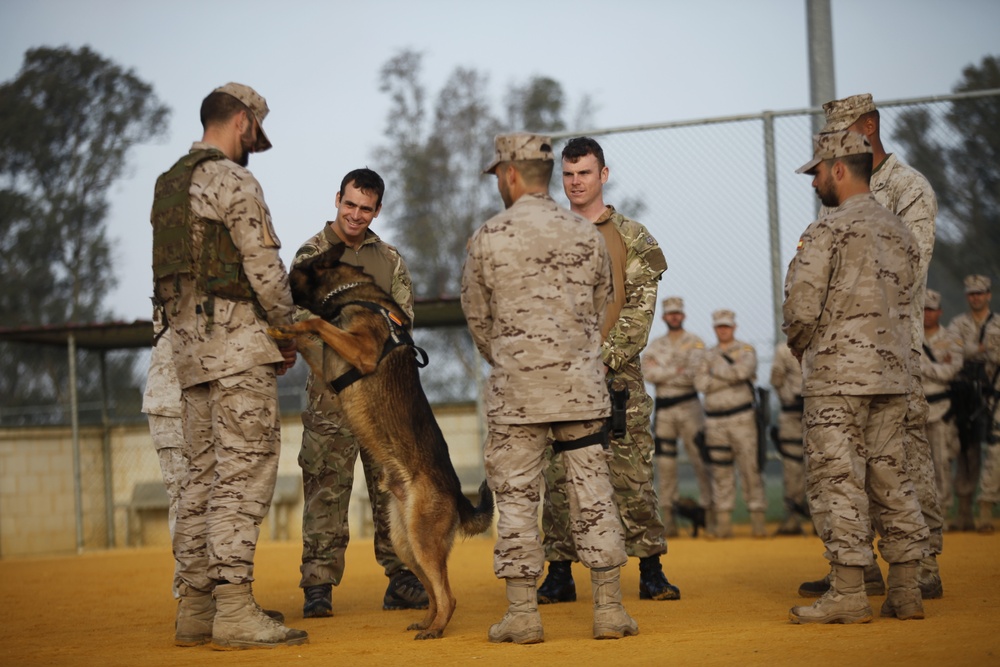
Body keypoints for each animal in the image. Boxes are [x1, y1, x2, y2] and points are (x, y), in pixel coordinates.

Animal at [272, 243, 494, 640]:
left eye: (293, 271)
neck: (350, 295)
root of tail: (457, 495)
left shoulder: (359, 351)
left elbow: (318, 324)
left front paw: (296, 324)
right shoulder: (327, 369)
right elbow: (310, 336)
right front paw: (285, 330)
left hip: (422, 540)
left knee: (448, 595)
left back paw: (436, 630)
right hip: (405, 543)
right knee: (433, 591)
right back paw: (426, 621)